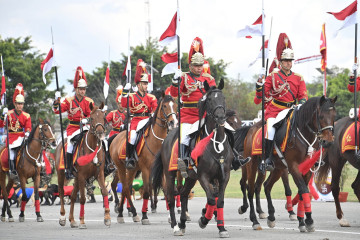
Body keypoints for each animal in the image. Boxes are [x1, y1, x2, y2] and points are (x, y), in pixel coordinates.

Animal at [54, 101, 110, 229]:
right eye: (92, 118)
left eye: (103, 117)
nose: (100, 133)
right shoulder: (82, 176)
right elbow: (83, 198)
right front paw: (82, 221)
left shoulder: (99, 174)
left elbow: (104, 191)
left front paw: (107, 218)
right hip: (62, 174)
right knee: (61, 192)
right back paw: (63, 217)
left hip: (75, 178)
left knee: (73, 196)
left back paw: (72, 220)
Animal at [109, 92, 177, 225]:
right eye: (164, 106)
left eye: (174, 105)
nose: (173, 122)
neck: (156, 140)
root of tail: (116, 137)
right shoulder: (146, 169)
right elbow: (146, 192)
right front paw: (145, 216)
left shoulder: (161, 170)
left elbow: (166, 190)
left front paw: (170, 216)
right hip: (120, 168)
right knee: (125, 187)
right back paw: (130, 213)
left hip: (132, 169)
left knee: (126, 188)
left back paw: (125, 213)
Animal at [152, 79, 233, 238]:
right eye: (209, 99)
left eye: (223, 98)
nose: (221, 117)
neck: (215, 142)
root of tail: (166, 138)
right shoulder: (203, 176)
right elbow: (211, 199)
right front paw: (203, 220)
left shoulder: (223, 176)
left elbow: (219, 201)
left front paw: (222, 228)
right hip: (170, 174)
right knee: (171, 197)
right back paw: (175, 226)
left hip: (190, 177)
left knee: (183, 194)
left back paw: (182, 223)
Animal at [240, 96, 336, 232]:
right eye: (321, 116)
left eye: (334, 116)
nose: (328, 141)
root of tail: (251, 128)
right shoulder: (293, 166)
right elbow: (303, 189)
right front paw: (308, 220)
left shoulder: (308, 168)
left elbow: (302, 191)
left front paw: (303, 220)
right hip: (252, 166)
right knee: (251, 189)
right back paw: (255, 220)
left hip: (278, 168)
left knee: (266, 186)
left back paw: (271, 217)